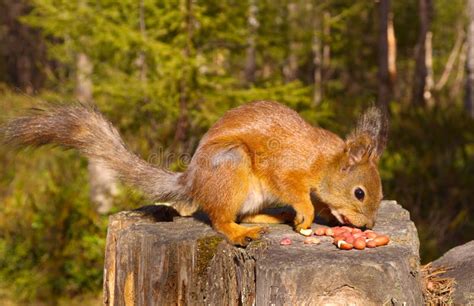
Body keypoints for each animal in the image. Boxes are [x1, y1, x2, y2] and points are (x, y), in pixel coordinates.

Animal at [1, 101, 386, 247]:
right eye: (360, 193)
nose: (367, 226)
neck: (324, 162)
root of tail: (192, 181)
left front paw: (322, 214)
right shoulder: (287, 169)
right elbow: (295, 191)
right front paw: (305, 213)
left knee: (244, 213)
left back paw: (270, 218)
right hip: (231, 166)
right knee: (220, 218)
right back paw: (240, 232)